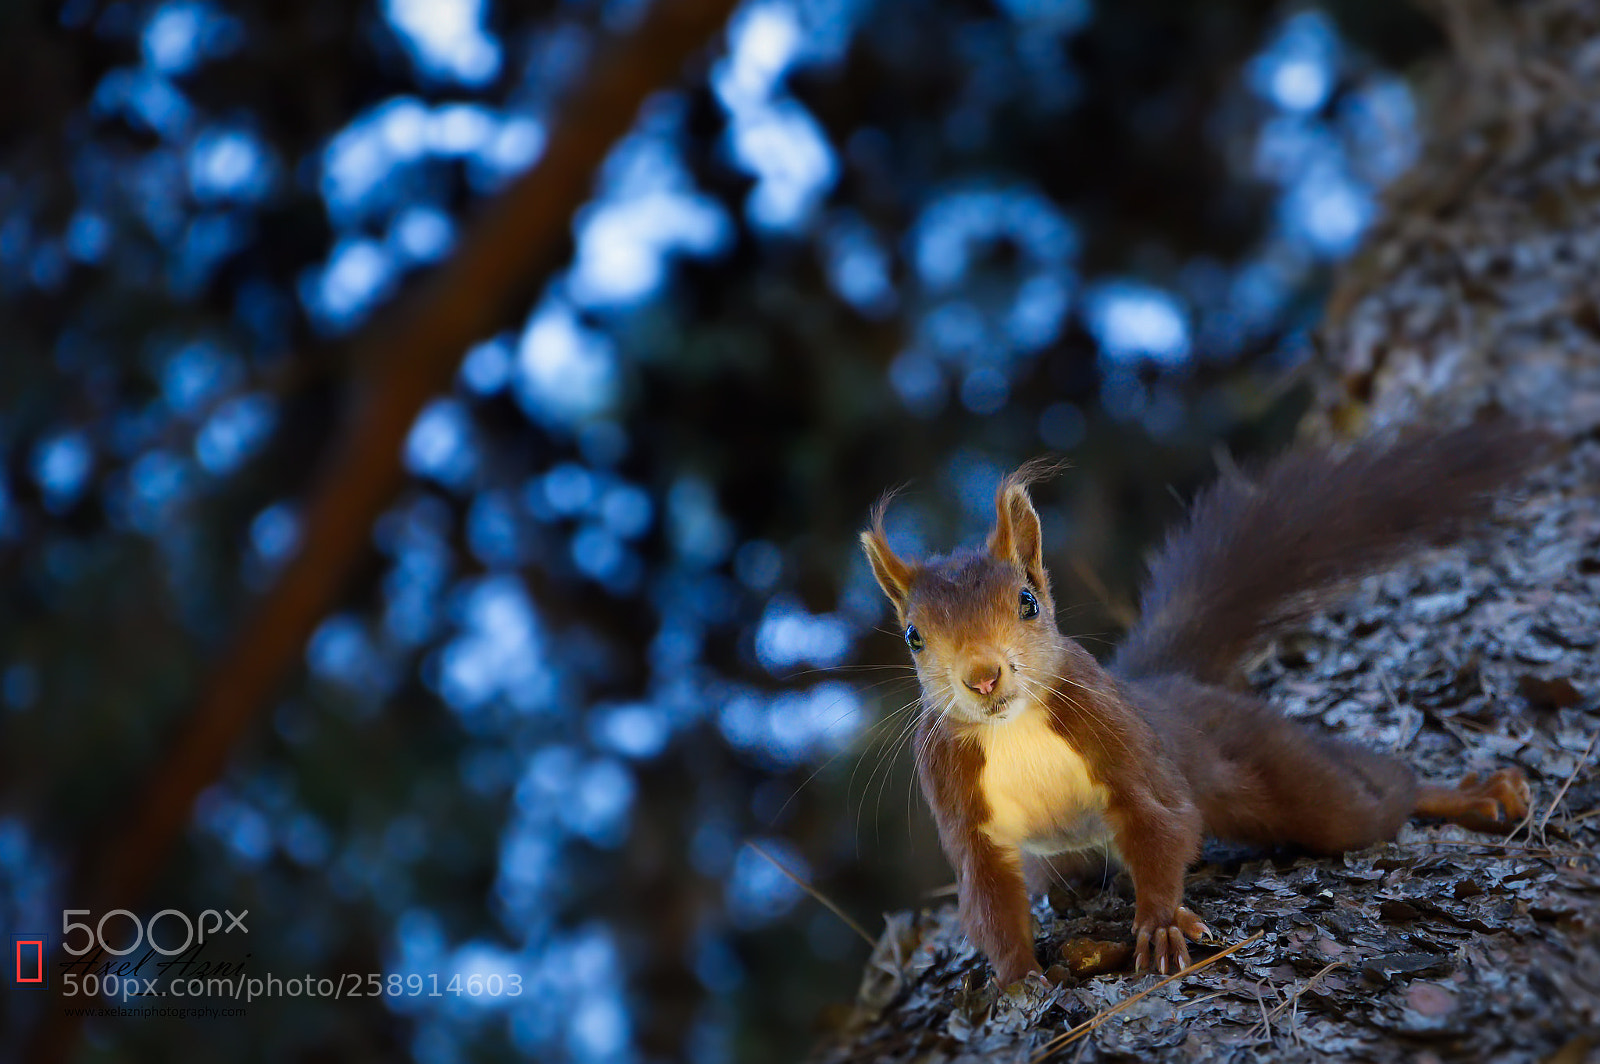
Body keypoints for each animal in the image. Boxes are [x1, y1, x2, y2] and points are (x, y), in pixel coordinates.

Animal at [859, 425, 1545, 985]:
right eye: (913, 636)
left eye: (1027, 601)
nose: (982, 676)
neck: (1012, 730)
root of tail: (1168, 686)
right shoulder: (952, 790)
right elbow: (988, 896)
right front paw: (1018, 978)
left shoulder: (1117, 738)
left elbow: (1163, 821)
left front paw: (1160, 923)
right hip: (1065, 858)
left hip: (1278, 768)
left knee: (1369, 798)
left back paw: (1473, 794)